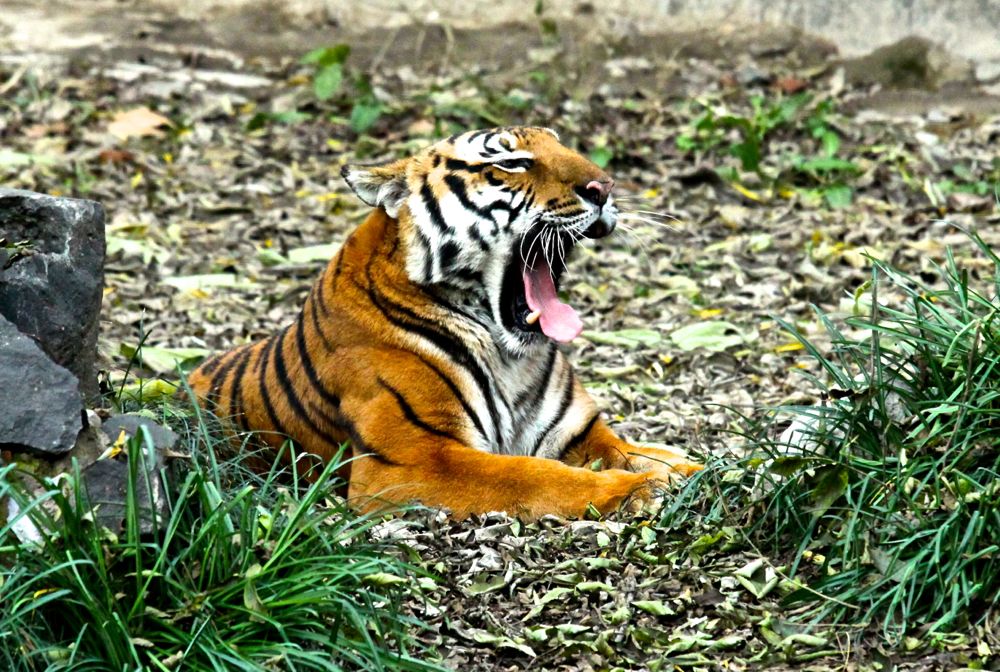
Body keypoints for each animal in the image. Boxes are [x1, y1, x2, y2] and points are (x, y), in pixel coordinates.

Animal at [189, 129, 704, 524]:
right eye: (513, 163)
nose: (604, 187)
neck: (510, 356)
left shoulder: (578, 434)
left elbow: (644, 450)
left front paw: (695, 470)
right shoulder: (412, 460)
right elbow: (530, 475)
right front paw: (640, 488)